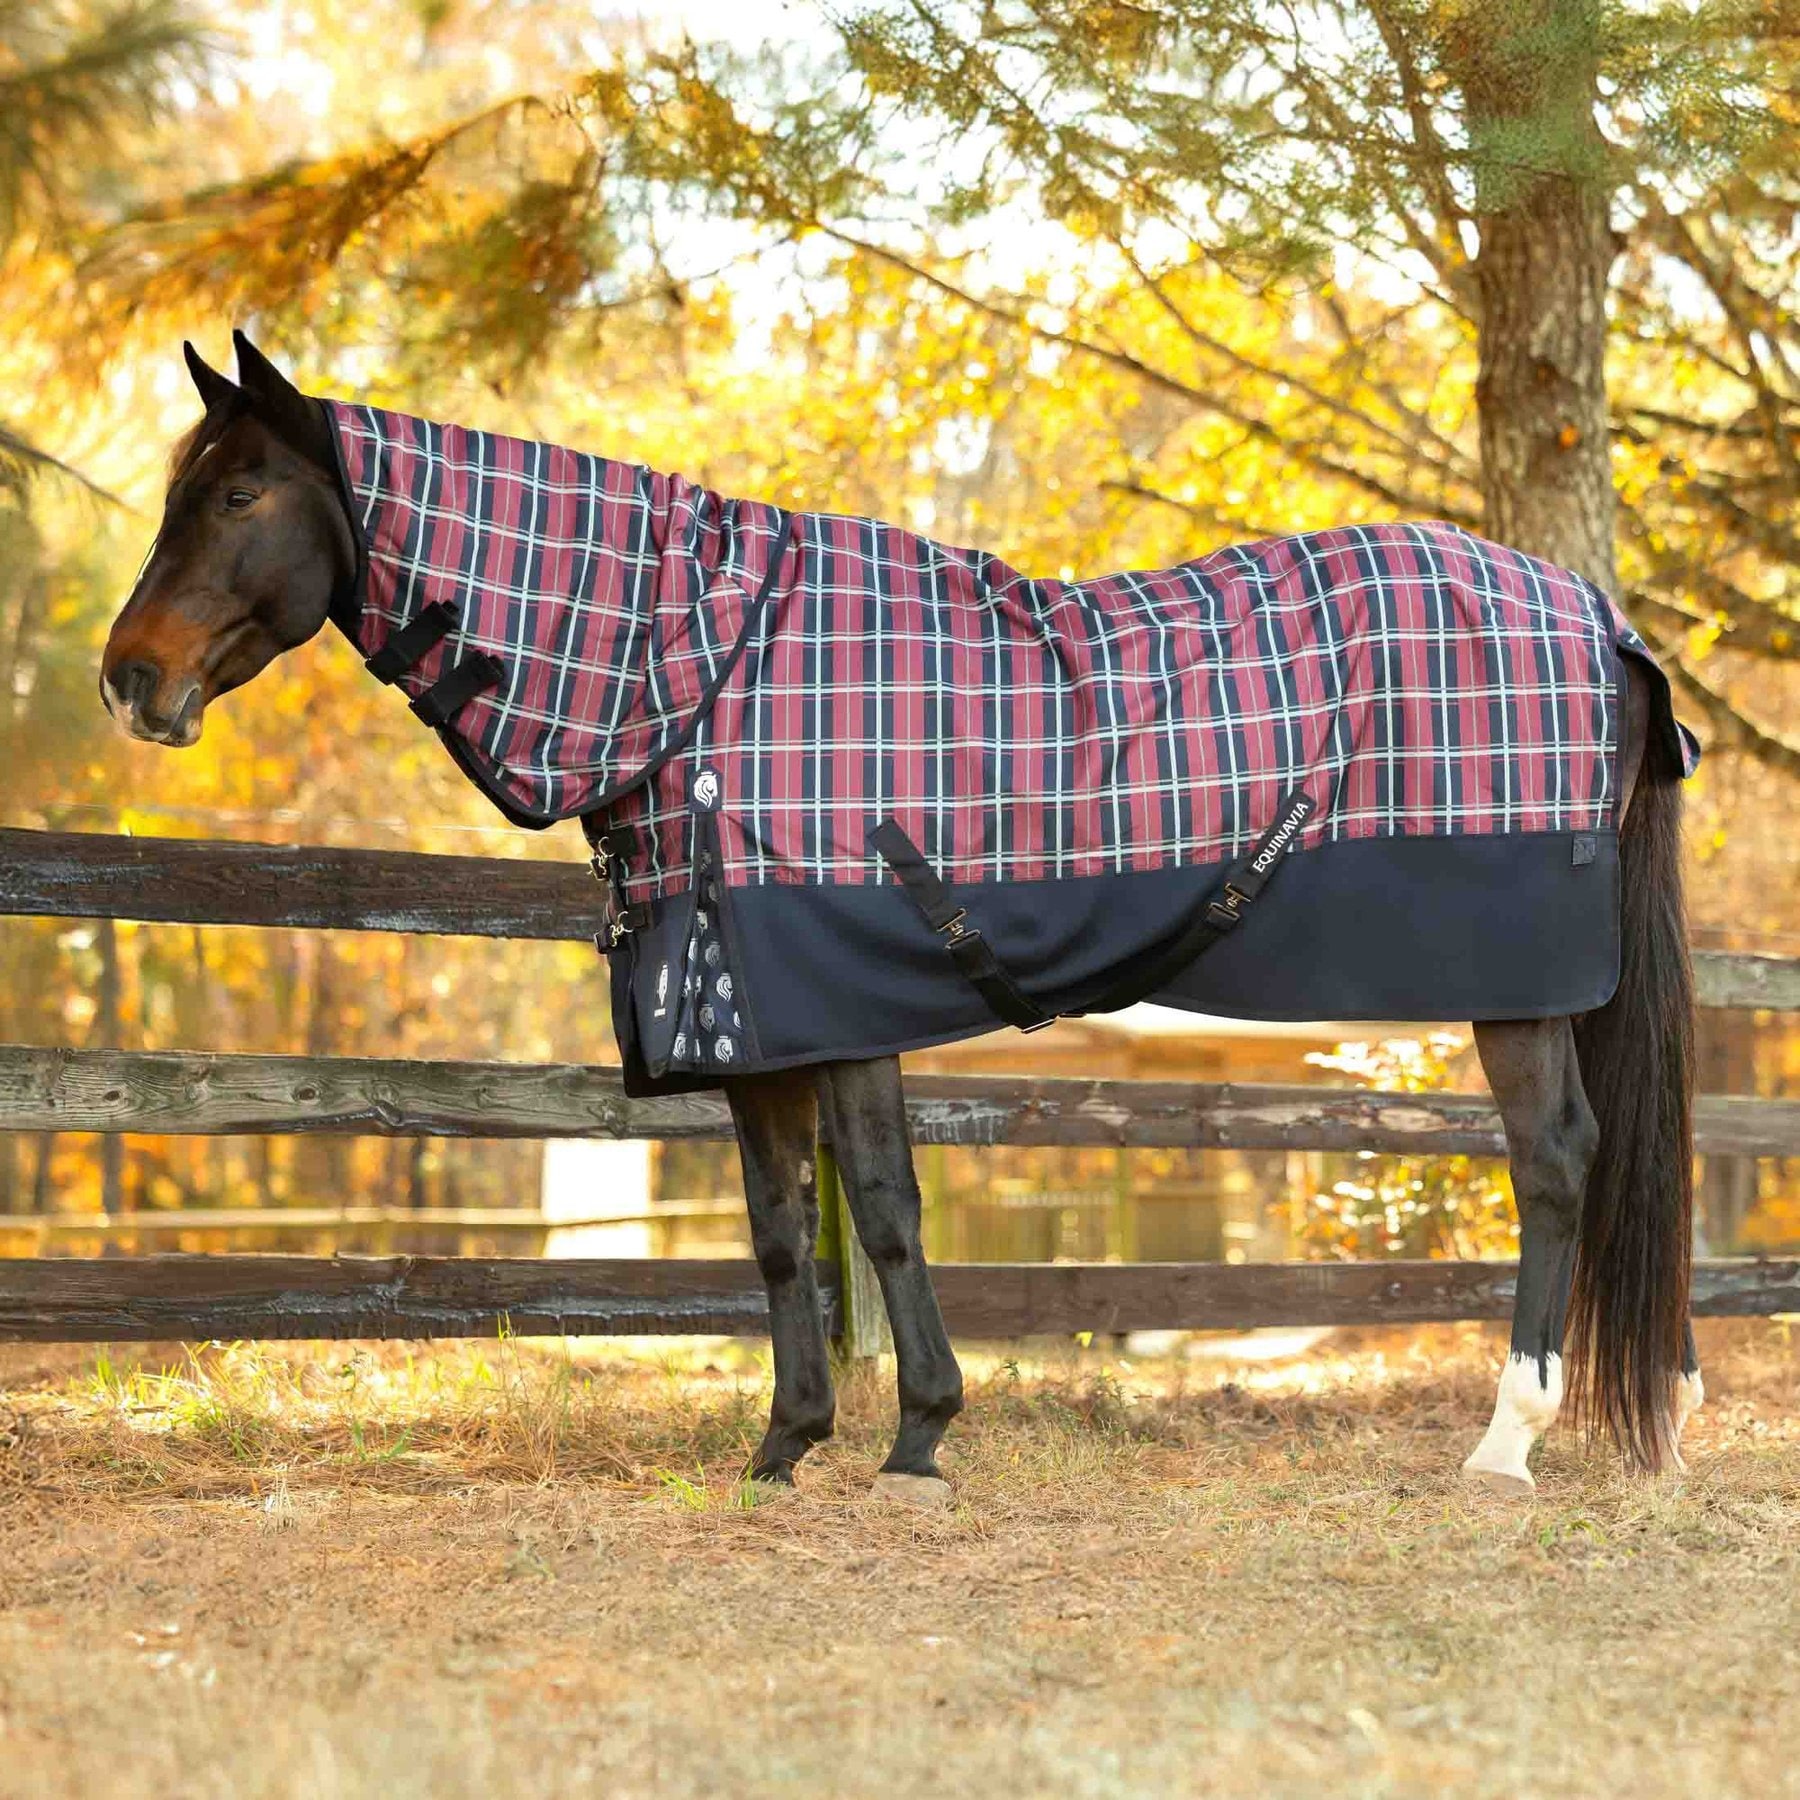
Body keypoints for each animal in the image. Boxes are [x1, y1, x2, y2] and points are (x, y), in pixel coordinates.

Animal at [101, 332, 1701, 1502]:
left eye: (237, 495)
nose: (130, 678)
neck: (702, 673)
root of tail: (1598, 618)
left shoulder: (842, 998)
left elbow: (877, 1208)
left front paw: (920, 1433)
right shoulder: (747, 1019)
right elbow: (774, 1234)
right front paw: (784, 1444)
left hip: (1517, 986)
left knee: (1558, 1162)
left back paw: (1507, 1439)